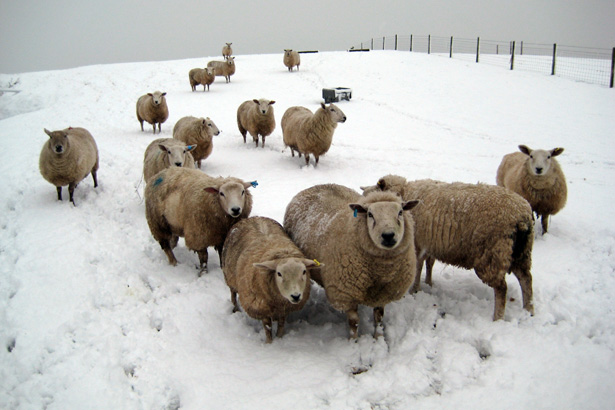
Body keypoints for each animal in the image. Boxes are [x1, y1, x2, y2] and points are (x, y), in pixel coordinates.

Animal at [221, 216, 320, 344]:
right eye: (279, 274)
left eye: (304, 271)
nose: (296, 296)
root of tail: (255, 217)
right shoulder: (261, 308)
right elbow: (267, 328)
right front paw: (269, 343)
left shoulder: (284, 309)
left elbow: (281, 324)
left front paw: (280, 337)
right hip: (229, 276)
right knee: (233, 294)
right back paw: (235, 308)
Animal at [282, 184, 418, 338]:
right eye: (370, 214)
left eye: (400, 212)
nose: (388, 235)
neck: (381, 271)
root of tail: (313, 186)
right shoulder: (346, 295)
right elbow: (354, 323)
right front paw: (354, 341)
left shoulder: (384, 294)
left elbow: (379, 318)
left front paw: (378, 338)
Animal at [360, 174, 536, 320]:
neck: (404, 193)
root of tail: (522, 216)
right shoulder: (429, 244)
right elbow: (428, 264)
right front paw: (428, 283)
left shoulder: (417, 243)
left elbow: (418, 267)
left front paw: (414, 290)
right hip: (521, 253)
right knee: (526, 279)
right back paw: (528, 310)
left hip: (493, 254)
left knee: (502, 288)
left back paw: (497, 318)